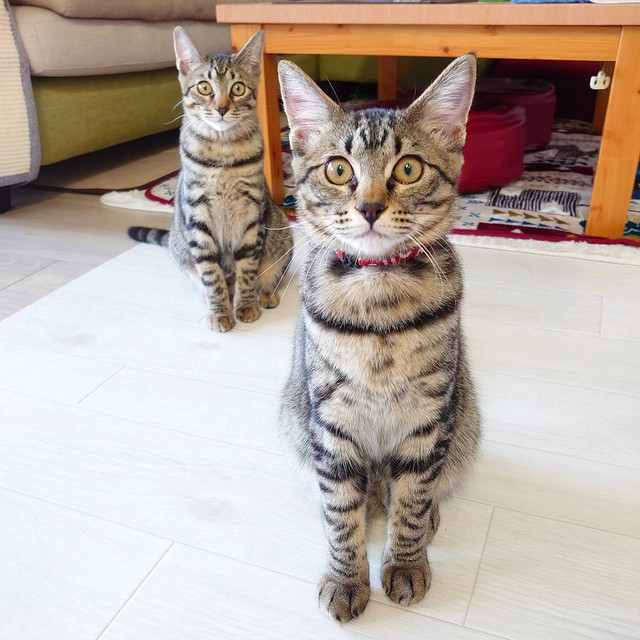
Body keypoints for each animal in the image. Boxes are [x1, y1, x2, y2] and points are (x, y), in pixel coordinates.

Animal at [128, 28, 293, 332]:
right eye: (204, 87)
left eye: (238, 88)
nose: (222, 108)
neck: (223, 153)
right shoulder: (198, 217)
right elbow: (211, 274)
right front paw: (220, 312)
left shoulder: (252, 215)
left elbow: (247, 269)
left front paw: (245, 305)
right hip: (180, 247)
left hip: (281, 234)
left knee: (273, 274)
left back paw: (266, 294)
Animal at [278, 55, 481, 622]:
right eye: (338, 169)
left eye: (408, 168)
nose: (369, 207)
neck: (378, 300)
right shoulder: (330, 418)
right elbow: (341, 509)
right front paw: (346, 578)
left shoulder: (429, 416)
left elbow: (411, 498)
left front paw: (406, 563)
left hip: (464, 422)